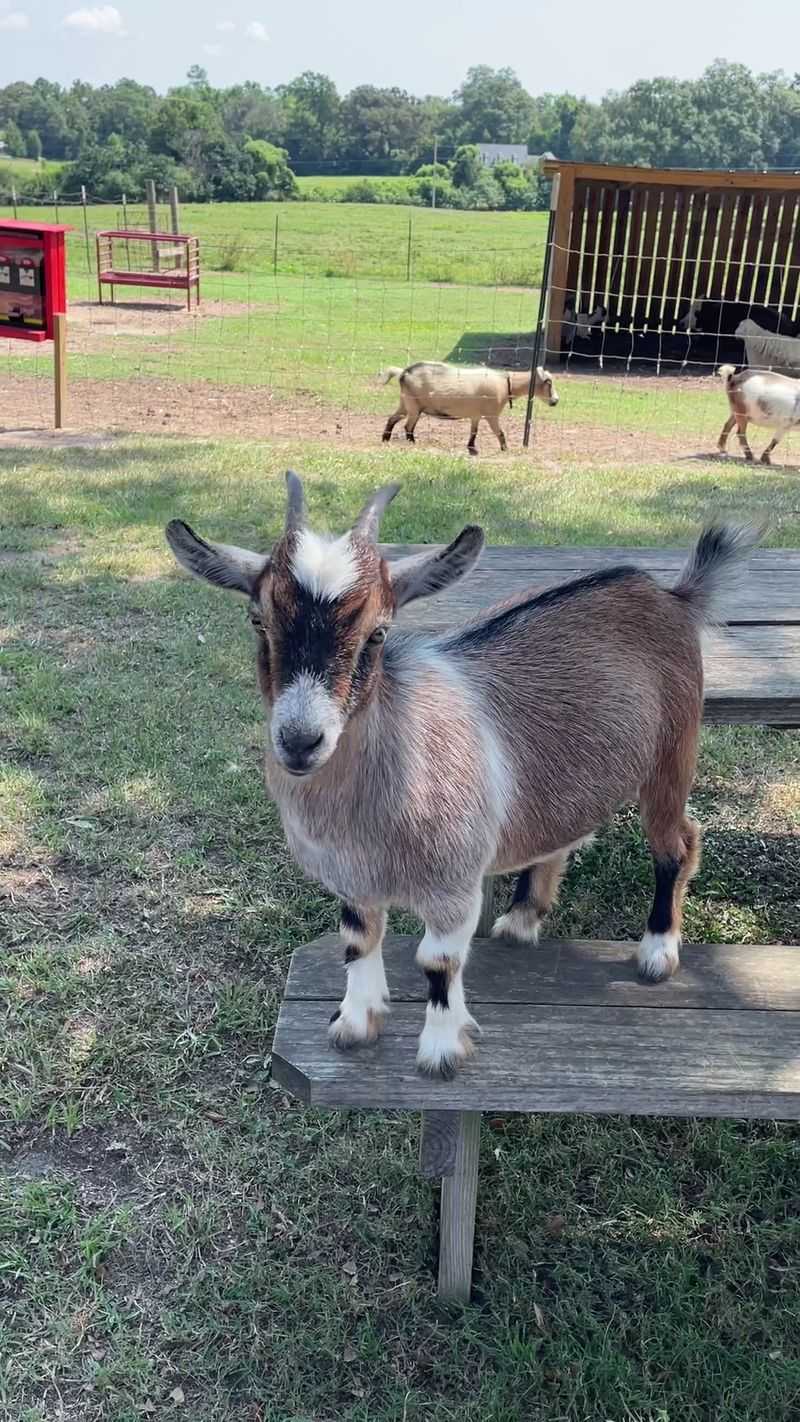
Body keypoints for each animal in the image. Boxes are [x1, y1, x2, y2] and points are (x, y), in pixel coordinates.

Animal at [166, 476, 758, 1078]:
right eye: (258, 620)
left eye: (378, 633)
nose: (300, 740)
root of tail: (672, 595)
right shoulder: (351, 878)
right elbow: (358, 941)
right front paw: (355, 1023)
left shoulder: (453, 884)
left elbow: (438, 961)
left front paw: (441, 1051)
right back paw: (522, 919)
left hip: (672, 755)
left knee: (678, 844)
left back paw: (657, 951)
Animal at [381, 361, 558, 455]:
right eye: (548, 382)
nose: (555, 401)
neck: (506, 384)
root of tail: (403, 373)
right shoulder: (491, 415)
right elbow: (500, 433)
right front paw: (505, 449)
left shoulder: (476, 415)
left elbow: (474, 431)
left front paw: (471, 447)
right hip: (414, 406)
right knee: (408, 426)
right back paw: (412, 443)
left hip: (405, 403)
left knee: (392, 419)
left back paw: (385, 439)